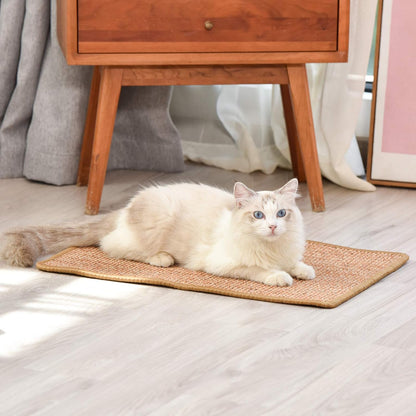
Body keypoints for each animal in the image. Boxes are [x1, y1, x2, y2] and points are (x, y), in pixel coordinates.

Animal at [0, 179, 314, 286]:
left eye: (281, 214)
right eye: (258, 215)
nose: (272, 227)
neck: (272, 247)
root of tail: (126, 207)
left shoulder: (287, 252)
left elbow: (294, 263)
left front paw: (303, 270)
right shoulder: (224, 264)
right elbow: (259, 270)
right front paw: (279, 276)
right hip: (158, 220)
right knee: (113, 246)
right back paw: (162, 259)